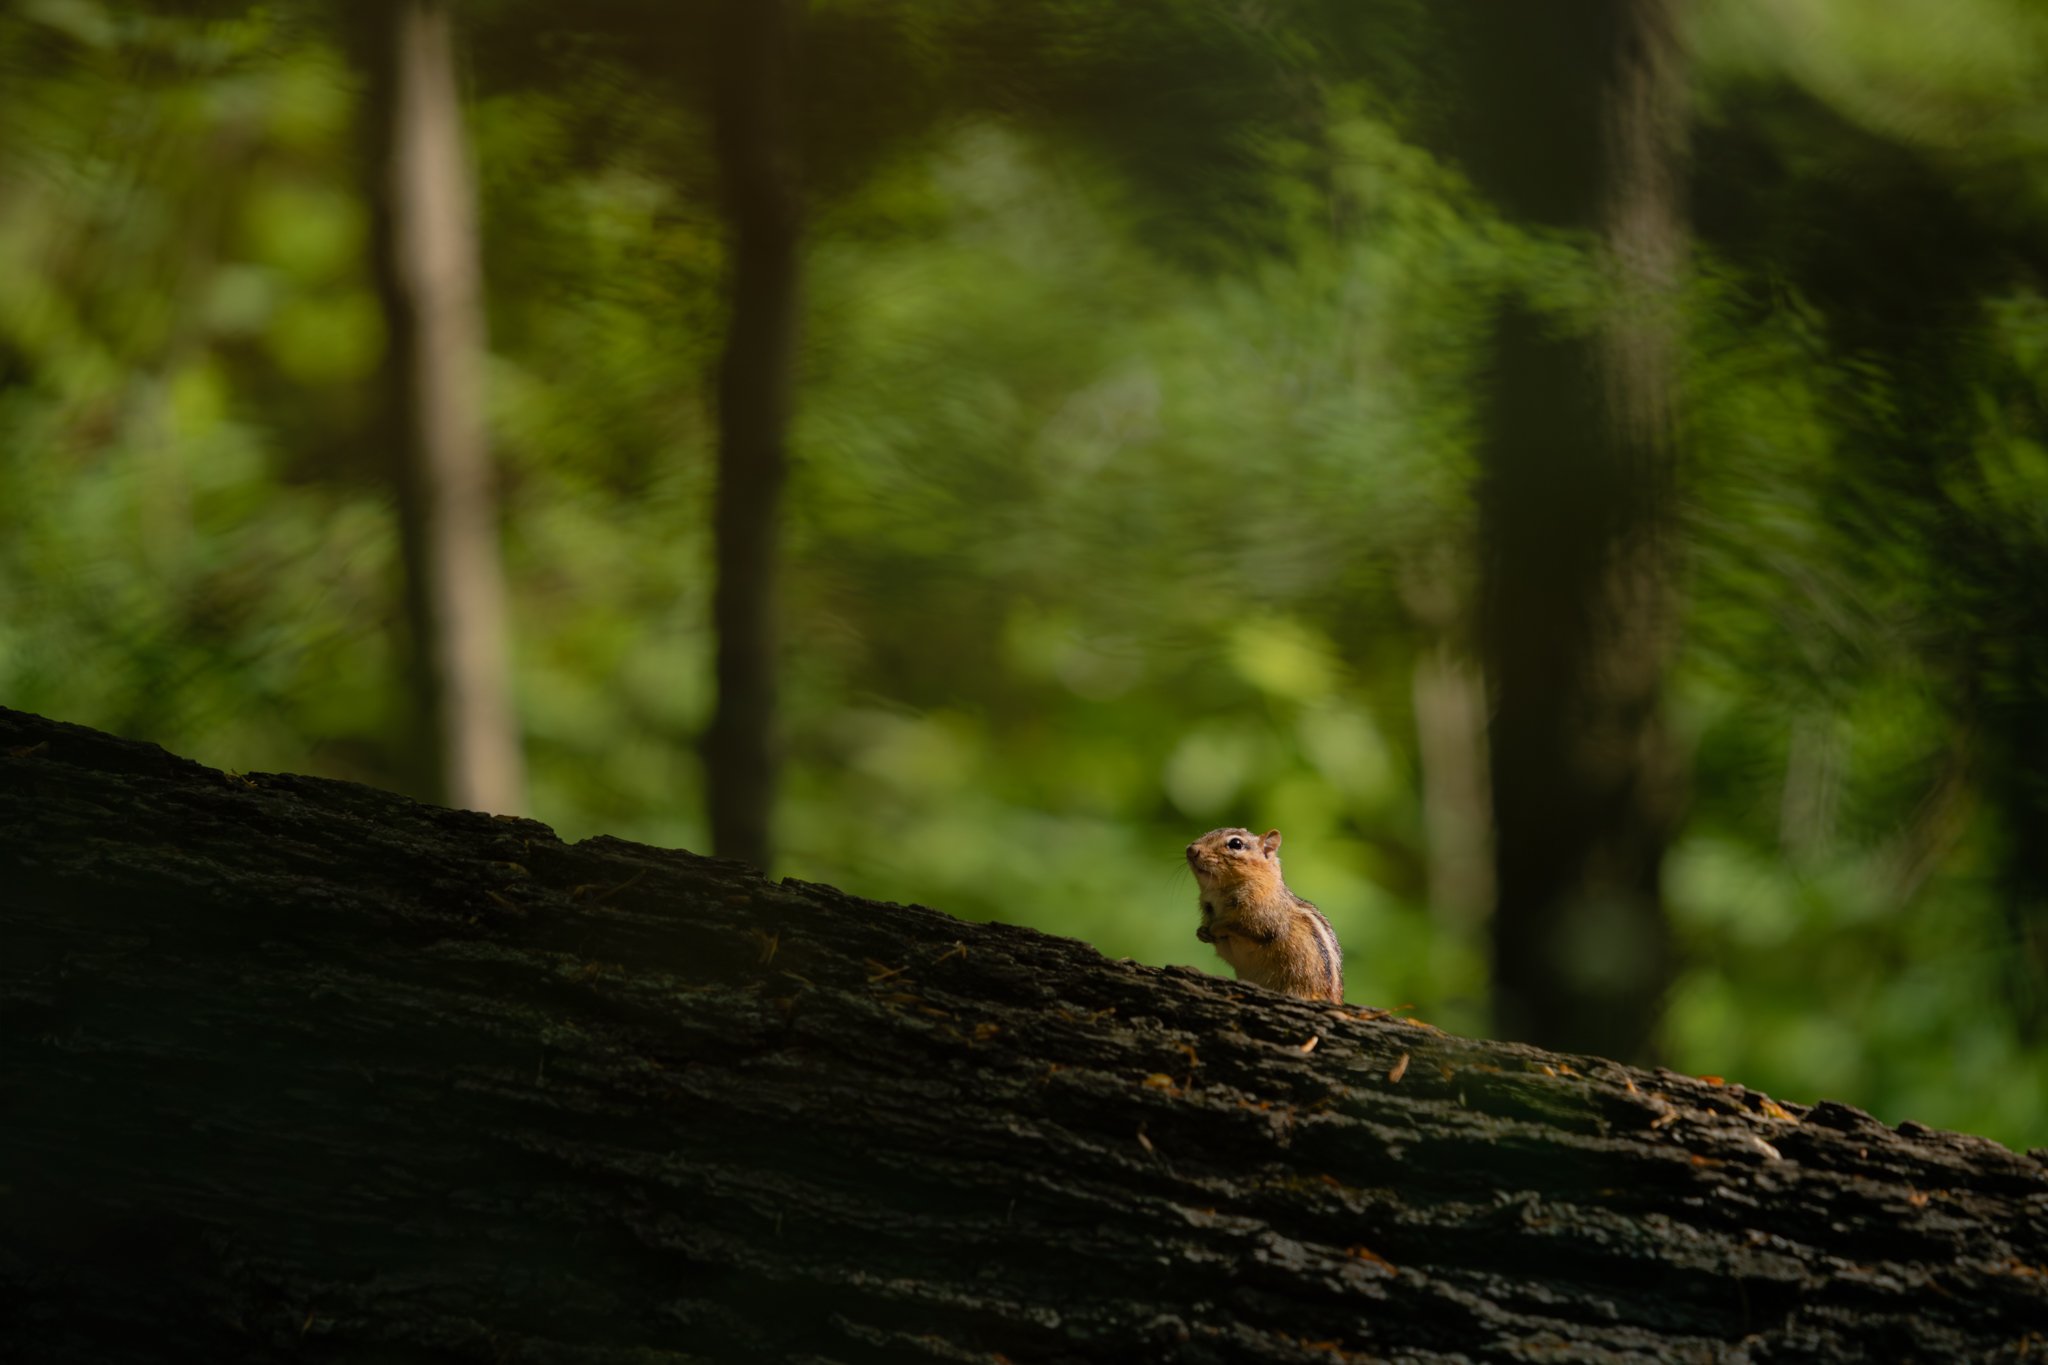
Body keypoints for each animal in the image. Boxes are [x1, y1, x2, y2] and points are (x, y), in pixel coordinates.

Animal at [1186, 827, 1344, 1005]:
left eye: (1236, 843)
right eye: (1206, 833)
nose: (1191, 849)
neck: (1218, 894)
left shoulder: (1263, 918)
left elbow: (1242, 927)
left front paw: (1217, 927)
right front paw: (1201, 932)